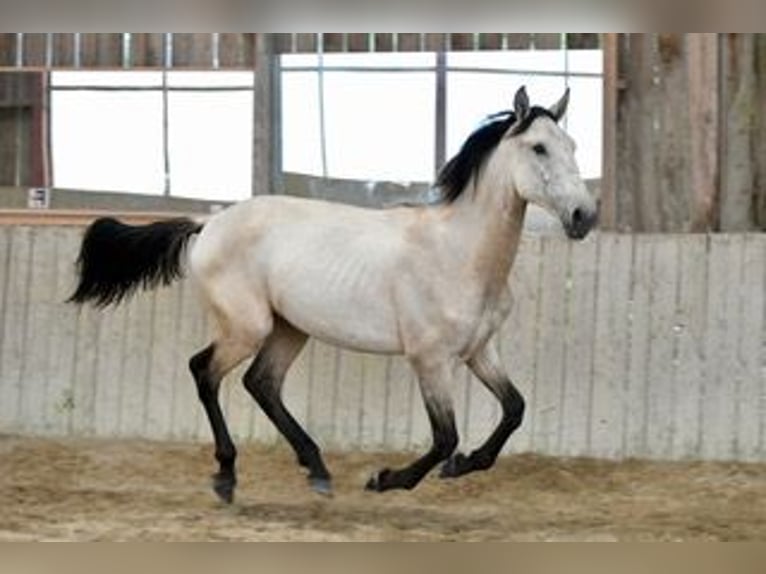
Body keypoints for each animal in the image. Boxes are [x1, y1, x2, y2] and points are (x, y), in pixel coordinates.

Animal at [69, 86, 600, 504]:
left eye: (572, 144)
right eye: (538, 148)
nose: (584, 216)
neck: (457, 251)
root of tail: (208, 224)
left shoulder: (478, 351)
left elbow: (514, 410)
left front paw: (464, 465)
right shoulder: (430, 359)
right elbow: (444, 437)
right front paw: (385, 479)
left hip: (289, 328)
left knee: (261, 383)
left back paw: (318, 471)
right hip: (247, 326)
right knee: (205, 372)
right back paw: (227, 476)